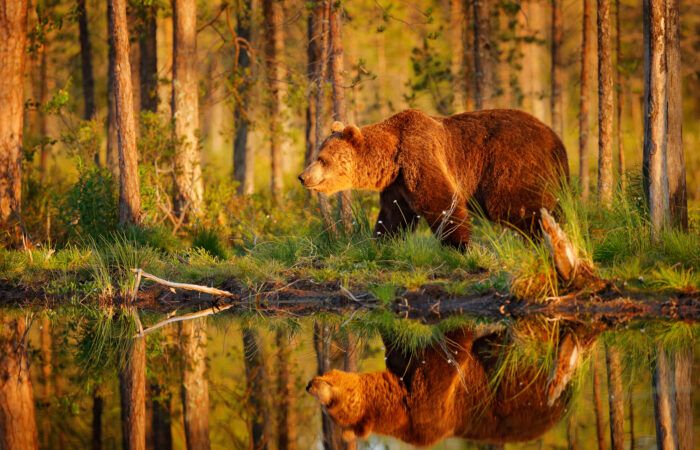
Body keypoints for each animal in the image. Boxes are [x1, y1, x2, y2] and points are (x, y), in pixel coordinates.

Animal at [298, 109, 569, 248]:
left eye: (322, 158)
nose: (302, 176)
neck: (391, 158)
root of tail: (556, 139)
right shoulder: (397, 184)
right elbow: (394, 215)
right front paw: (381, 242)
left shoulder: (420, 155)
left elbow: (442, 203)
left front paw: (459, 245)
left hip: (511, 161)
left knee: (519, 203)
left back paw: (542, 235)